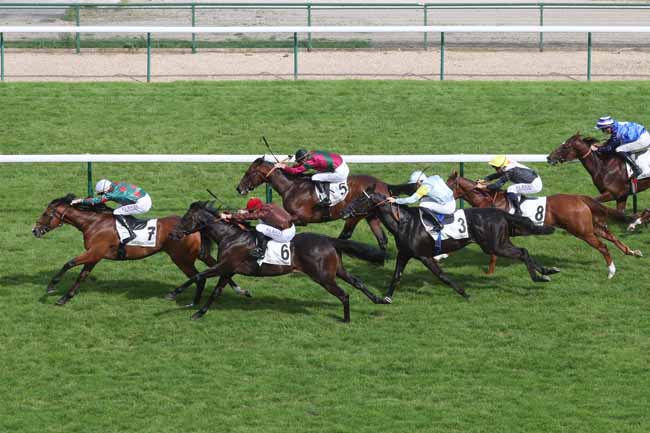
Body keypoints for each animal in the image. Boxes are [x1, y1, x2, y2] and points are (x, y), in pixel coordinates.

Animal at [30, 194, 244, 306]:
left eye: (46, 214)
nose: (35, 230)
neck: (93, 222)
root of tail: (194, 228)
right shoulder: (95, 255)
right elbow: (82, 275)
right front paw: (65, 298)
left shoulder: (94, 251)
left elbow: (69, 263)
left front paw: (51, 286)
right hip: (197, 254)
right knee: (217, 267)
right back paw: (241, 290)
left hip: (181, 259)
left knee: (200, 277)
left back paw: (193, 302)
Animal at [168, 202, 390, 320]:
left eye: (186, 219)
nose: (172, 234)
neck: (230, 236)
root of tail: (328, 240)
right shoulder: (228, 269)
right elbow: (216, 290)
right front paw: (200, 312)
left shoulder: (225, 265)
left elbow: (199, 275)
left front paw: (174, 293)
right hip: (336, 270)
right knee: (357, 282)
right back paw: (379, 299)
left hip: (323, 277)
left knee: (344, 294)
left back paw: (346, 319)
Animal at [235, 158, 412, 253]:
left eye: (249, 172)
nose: (239, 188)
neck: (291, 187)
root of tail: (384, 184)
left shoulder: (300, 218)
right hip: (371, 215)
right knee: (382, 239)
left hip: (355, 214)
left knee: (346, 234)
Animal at [340, 185, 556, 300]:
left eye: (360, 199)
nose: (344, 212)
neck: (404, 222)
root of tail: (500, 213)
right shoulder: (405, 253)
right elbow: (396, 276)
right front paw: (387, 297)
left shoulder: (425, 256)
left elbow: (442, 275)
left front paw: (464, 293)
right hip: (500, 242)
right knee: (524, 251)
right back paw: (547, 271)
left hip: (494, 246)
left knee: (522, 252)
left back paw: (539, 277)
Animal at [442, 171, 640, 276]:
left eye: (448, 186)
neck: (488, 201)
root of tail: (578, 197)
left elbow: (490, 254)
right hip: (589, 226)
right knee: (610, 236)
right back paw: (632, 252)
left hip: (581, 230)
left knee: (603, 246)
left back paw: (611, 271)